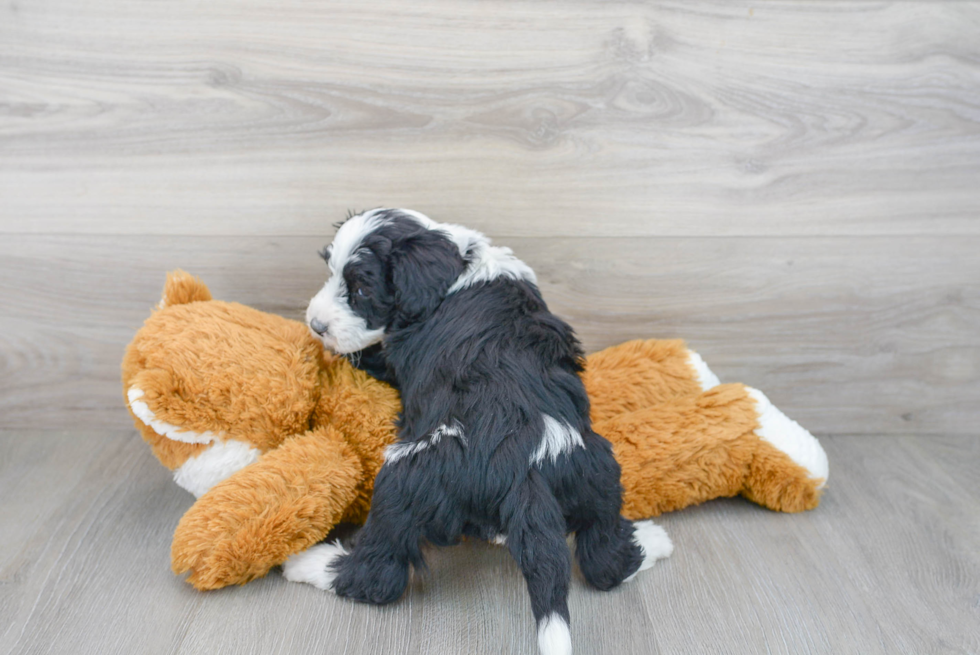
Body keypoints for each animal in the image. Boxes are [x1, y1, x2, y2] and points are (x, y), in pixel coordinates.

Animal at [280, 209, 668, 655]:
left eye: (361, 289)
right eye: (330, 272)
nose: (316, 324)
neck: (456, 265)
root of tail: (524, 471)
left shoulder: (389, 355)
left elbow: (363, 354)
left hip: (404, 481)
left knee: (376, 574)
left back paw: (307, 563)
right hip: (598, 469)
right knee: (604, 558)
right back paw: (653, 541)